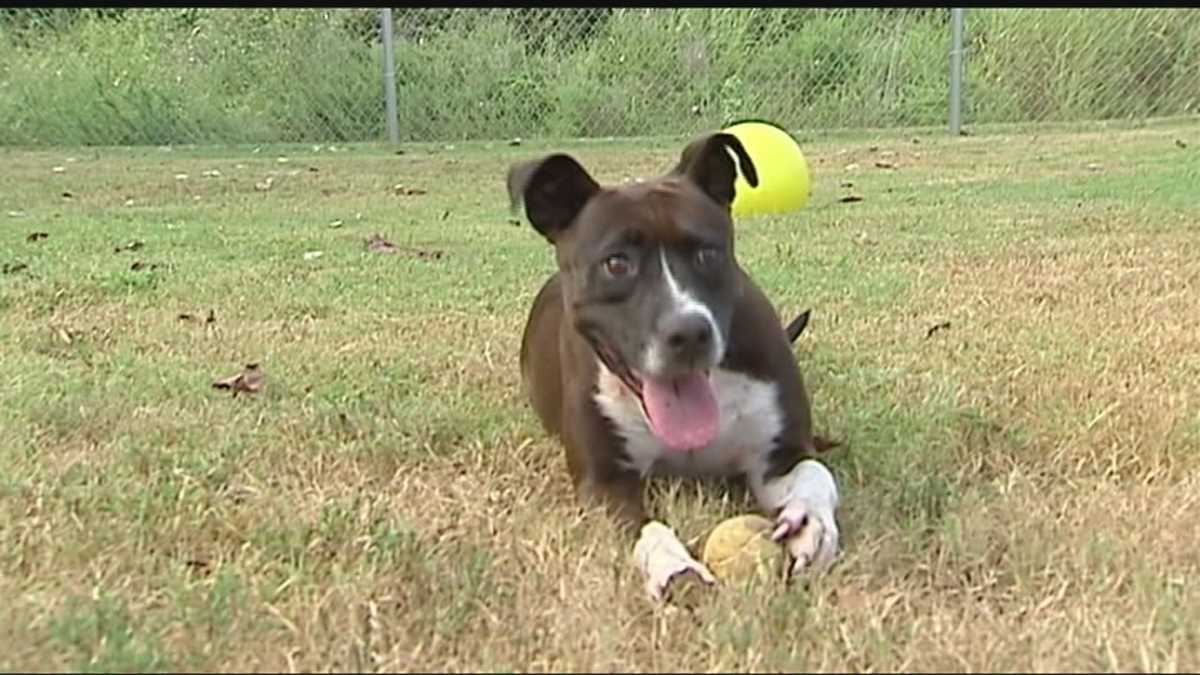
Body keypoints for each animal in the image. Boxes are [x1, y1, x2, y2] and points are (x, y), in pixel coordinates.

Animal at [508, 131, 844, 598]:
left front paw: (810, 523)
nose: (688, 332)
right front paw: (674, 567)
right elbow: (645, 529)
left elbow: (816, 474)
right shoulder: (604, 482)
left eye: (707, 253)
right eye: (616, 263)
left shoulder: (781, 453)